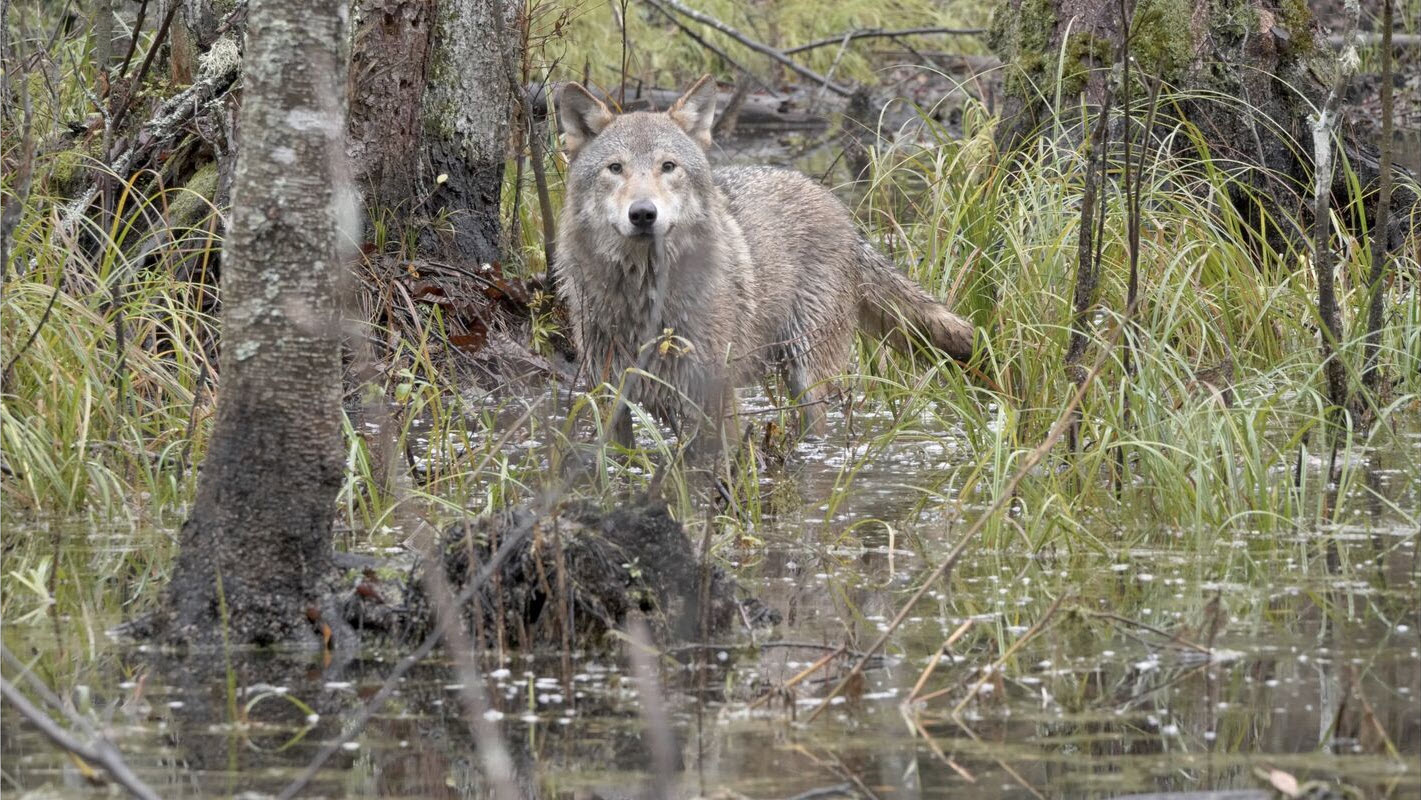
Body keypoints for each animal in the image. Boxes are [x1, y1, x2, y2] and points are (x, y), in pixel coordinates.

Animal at [553, 75, 974, 450]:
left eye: (668, 167)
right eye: (615, 168)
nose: (643, 213)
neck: (644, 295)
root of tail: (840, 211)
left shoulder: (714, 396)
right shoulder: (608, 397)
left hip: (807, 373)